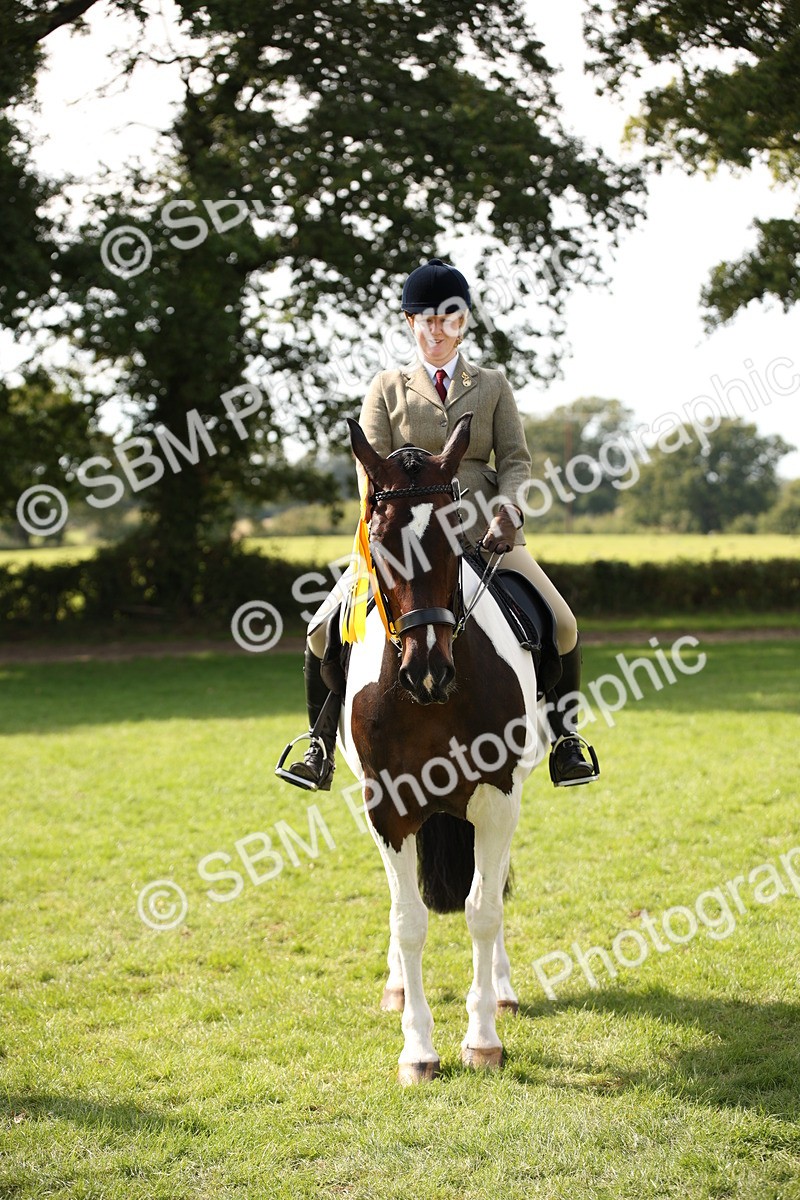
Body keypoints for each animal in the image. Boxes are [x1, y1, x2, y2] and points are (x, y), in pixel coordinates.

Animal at [337, 411, 547, 1085]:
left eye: (456, 539)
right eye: (379, 542)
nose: (427, 671)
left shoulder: (498, 798)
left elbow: (484, 908)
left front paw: (481, 1040)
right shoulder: (387, 808)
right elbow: (408, 920)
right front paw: (418, 1051)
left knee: (493, 888)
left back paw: (501, 992)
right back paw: (398, 987)